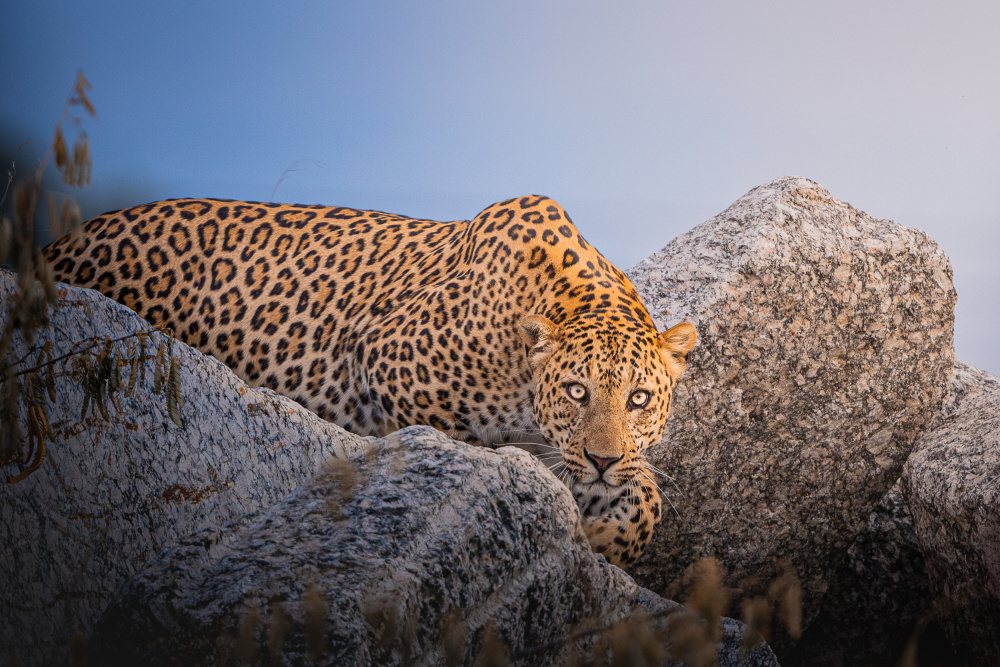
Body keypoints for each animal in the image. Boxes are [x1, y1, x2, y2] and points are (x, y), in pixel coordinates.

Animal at [44, 195, 696, 567]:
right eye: (576, 392)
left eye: (638, 399)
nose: (603, 460)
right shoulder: (386, 361)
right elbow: (466, 447)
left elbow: (647, 496)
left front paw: (606, 535)